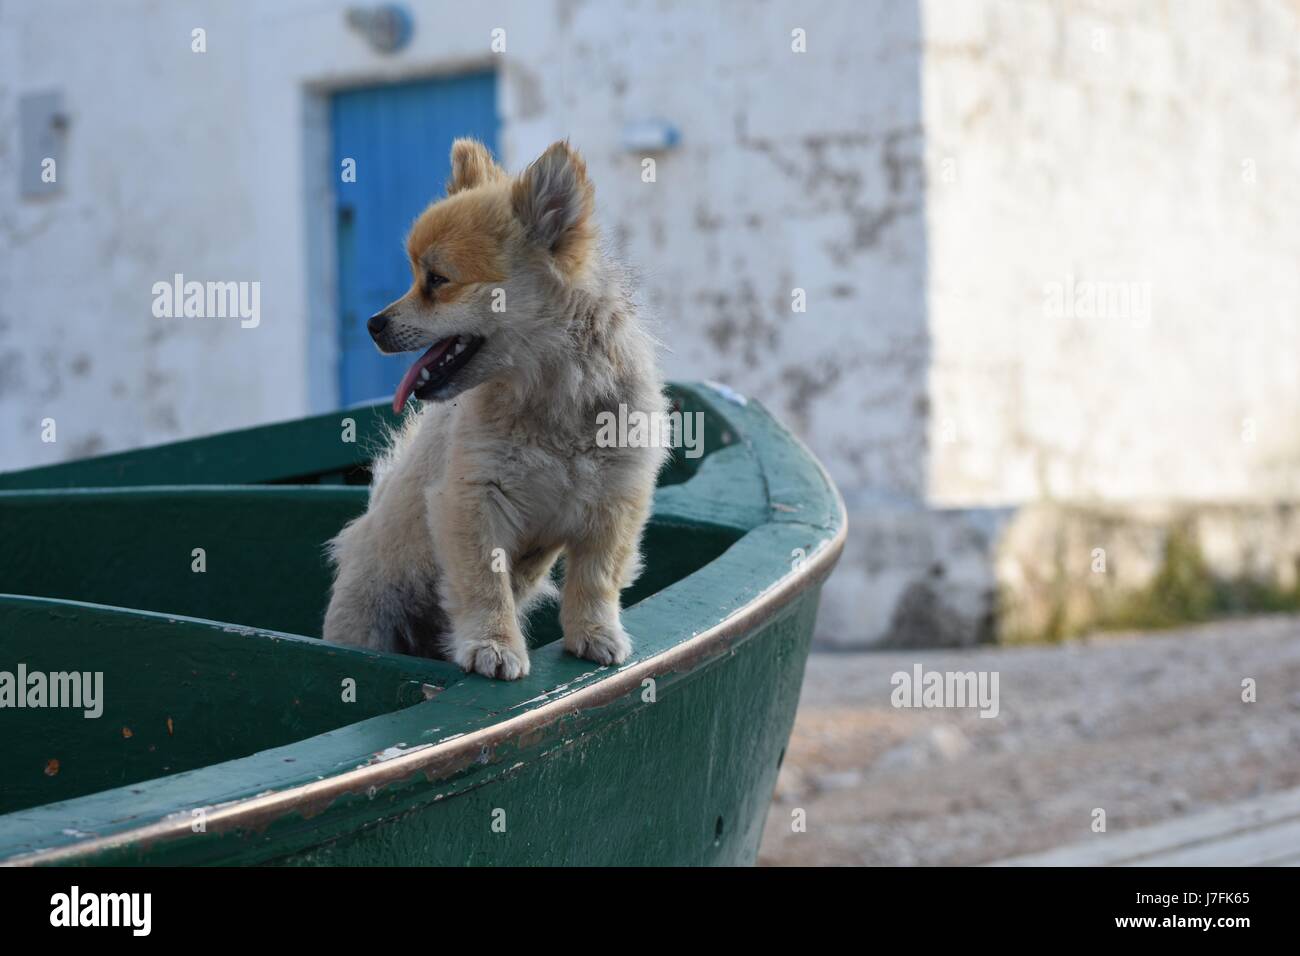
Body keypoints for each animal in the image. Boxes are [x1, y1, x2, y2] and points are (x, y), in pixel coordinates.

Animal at [322, 138, 670, 686]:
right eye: (416, 276)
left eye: (437, 280)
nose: (373, 323)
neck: (550, 394)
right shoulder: (472, 501)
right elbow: (485, 586)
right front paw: (493, 645)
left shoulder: (614, 503)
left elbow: (595, 580)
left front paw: (594, 634)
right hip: (368, 614)